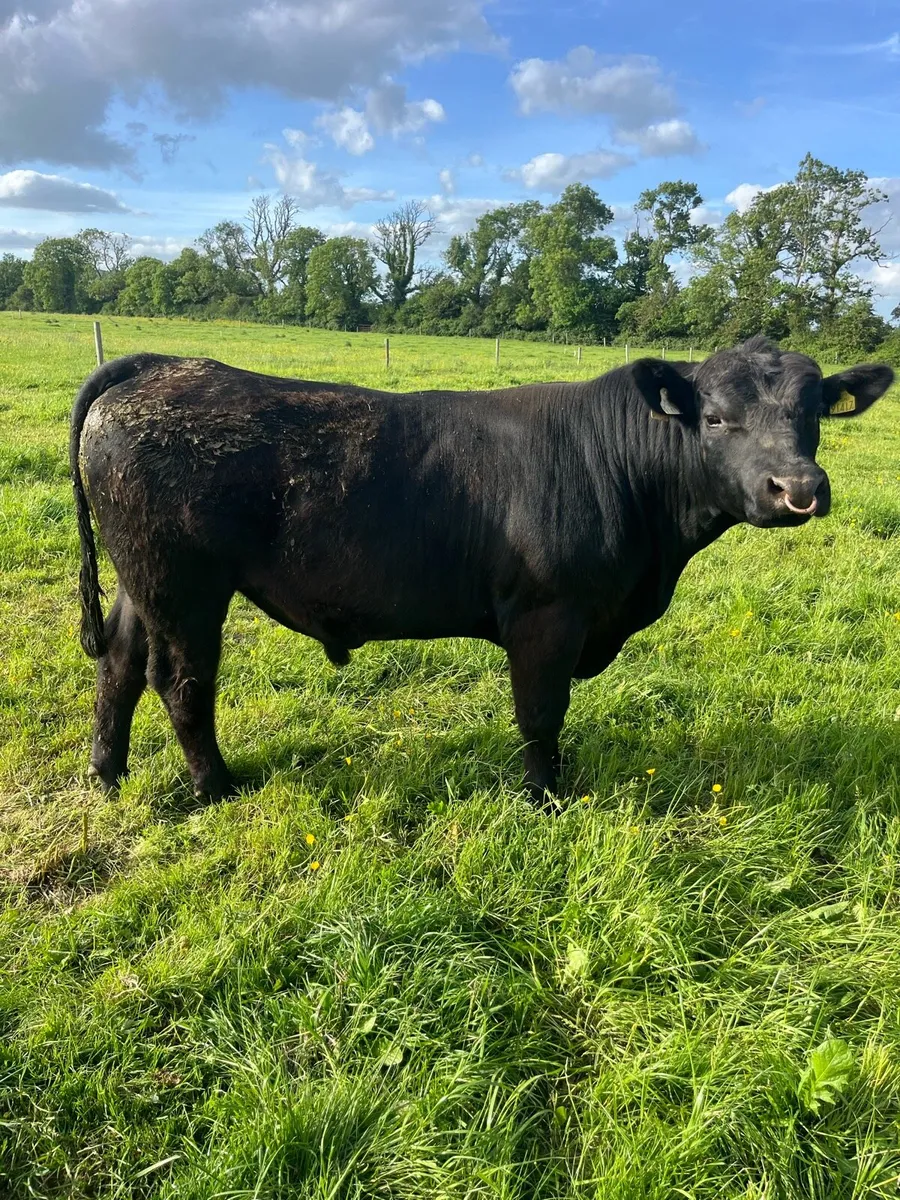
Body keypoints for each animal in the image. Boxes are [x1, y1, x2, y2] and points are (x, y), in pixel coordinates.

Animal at [70, 338, 893, 805]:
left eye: (813, 412)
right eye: (716, 417)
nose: (797, 489)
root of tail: (161, 364)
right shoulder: (547, 618)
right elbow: (540, 714)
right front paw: (544, 799)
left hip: (143, 583)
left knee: (119, 663)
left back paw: (108, 775)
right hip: (184, 585)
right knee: (179, 682)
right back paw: (215, 788)